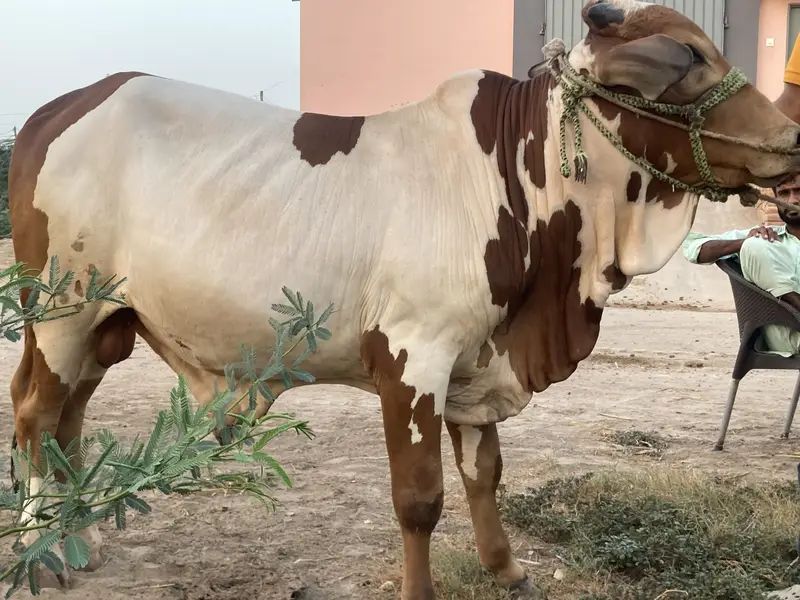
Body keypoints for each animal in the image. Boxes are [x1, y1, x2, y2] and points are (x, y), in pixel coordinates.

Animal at [8, 0, 800, 598]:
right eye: (690, 57)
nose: (791, 138)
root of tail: (63, 107)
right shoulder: (413, 355)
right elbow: (420, 500)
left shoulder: (480, 359)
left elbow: (485, 472)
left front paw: (506, 569)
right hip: (63, 312)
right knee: (37, 415)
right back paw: (41, 549)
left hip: (106, 325)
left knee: (69, 420)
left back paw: (78, 541)